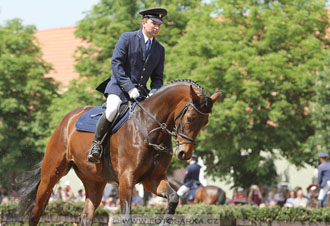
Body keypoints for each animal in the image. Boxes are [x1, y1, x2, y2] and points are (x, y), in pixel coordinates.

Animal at [16, 79, 220, 224]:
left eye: (205, 122)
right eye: (190, 118)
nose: (185, 153)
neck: (150, 129)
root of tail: (67, 119)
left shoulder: (152, 179)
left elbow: (173, 199)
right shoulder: (126, 179)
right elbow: (127, 216)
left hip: (94, 182)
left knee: (86, 217)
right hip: (51, 174)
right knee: (36, 212)